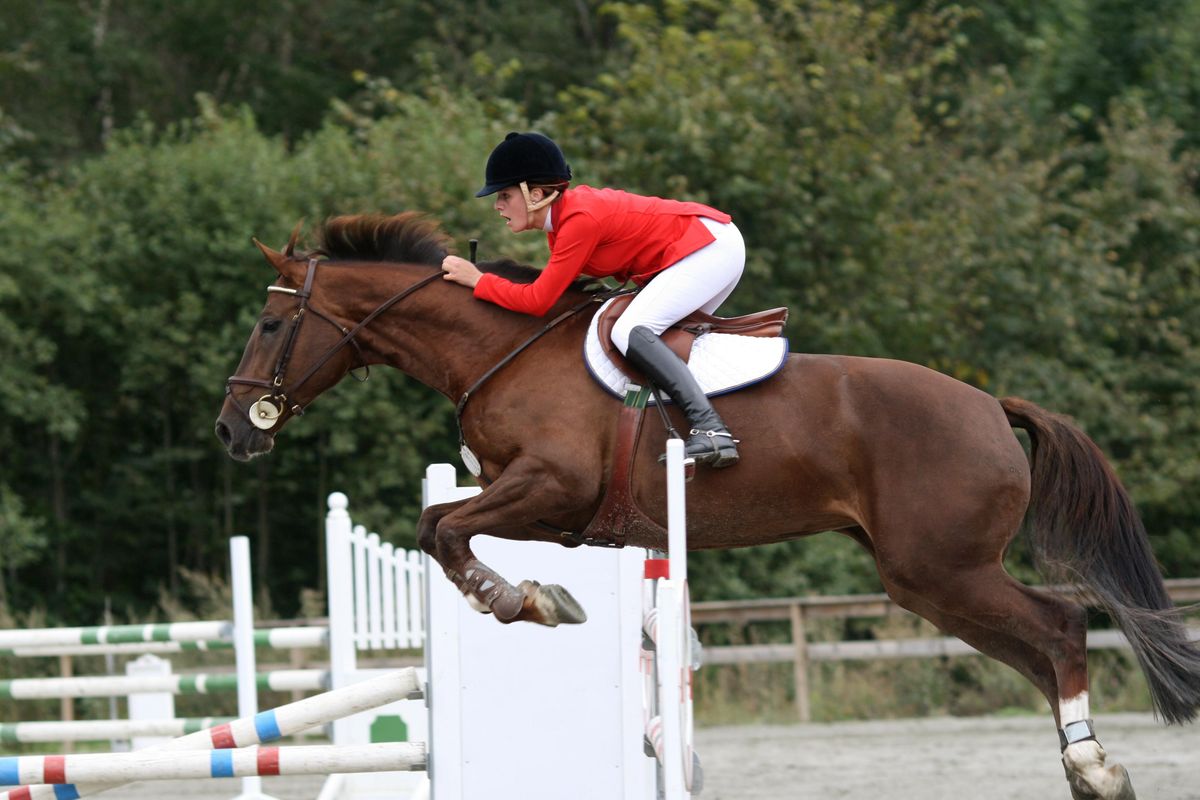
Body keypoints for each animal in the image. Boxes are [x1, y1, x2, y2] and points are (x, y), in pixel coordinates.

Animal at [215, 212, 1198, 800]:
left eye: (268, 326)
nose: (232, 430)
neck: (496, 350)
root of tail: (992, 406)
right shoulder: (538, 504)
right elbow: (441, 526)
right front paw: (535, 597)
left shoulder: (549, 489)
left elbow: (441, 527)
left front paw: (525, 601)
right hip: (927, 581)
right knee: (1036, 649)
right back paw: (1084, 763)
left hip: (942, 567)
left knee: (1061, 629)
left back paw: (1093, 766)